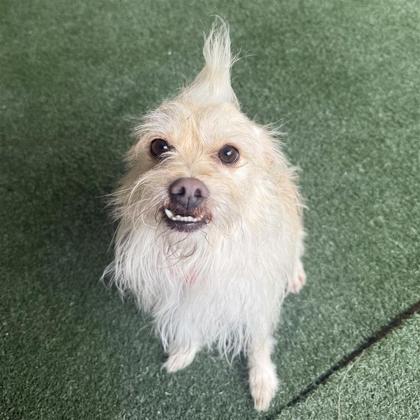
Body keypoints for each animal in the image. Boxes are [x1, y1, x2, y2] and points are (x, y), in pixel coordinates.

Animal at [104, 20, 305, 411]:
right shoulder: (182, 299)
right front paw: (183, 353)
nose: (186, 189)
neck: (196, 251)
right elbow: (190, 326)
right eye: (159, 146)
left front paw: (262, 383)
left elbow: (259, 345)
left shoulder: (257, 302)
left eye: (229, 153)